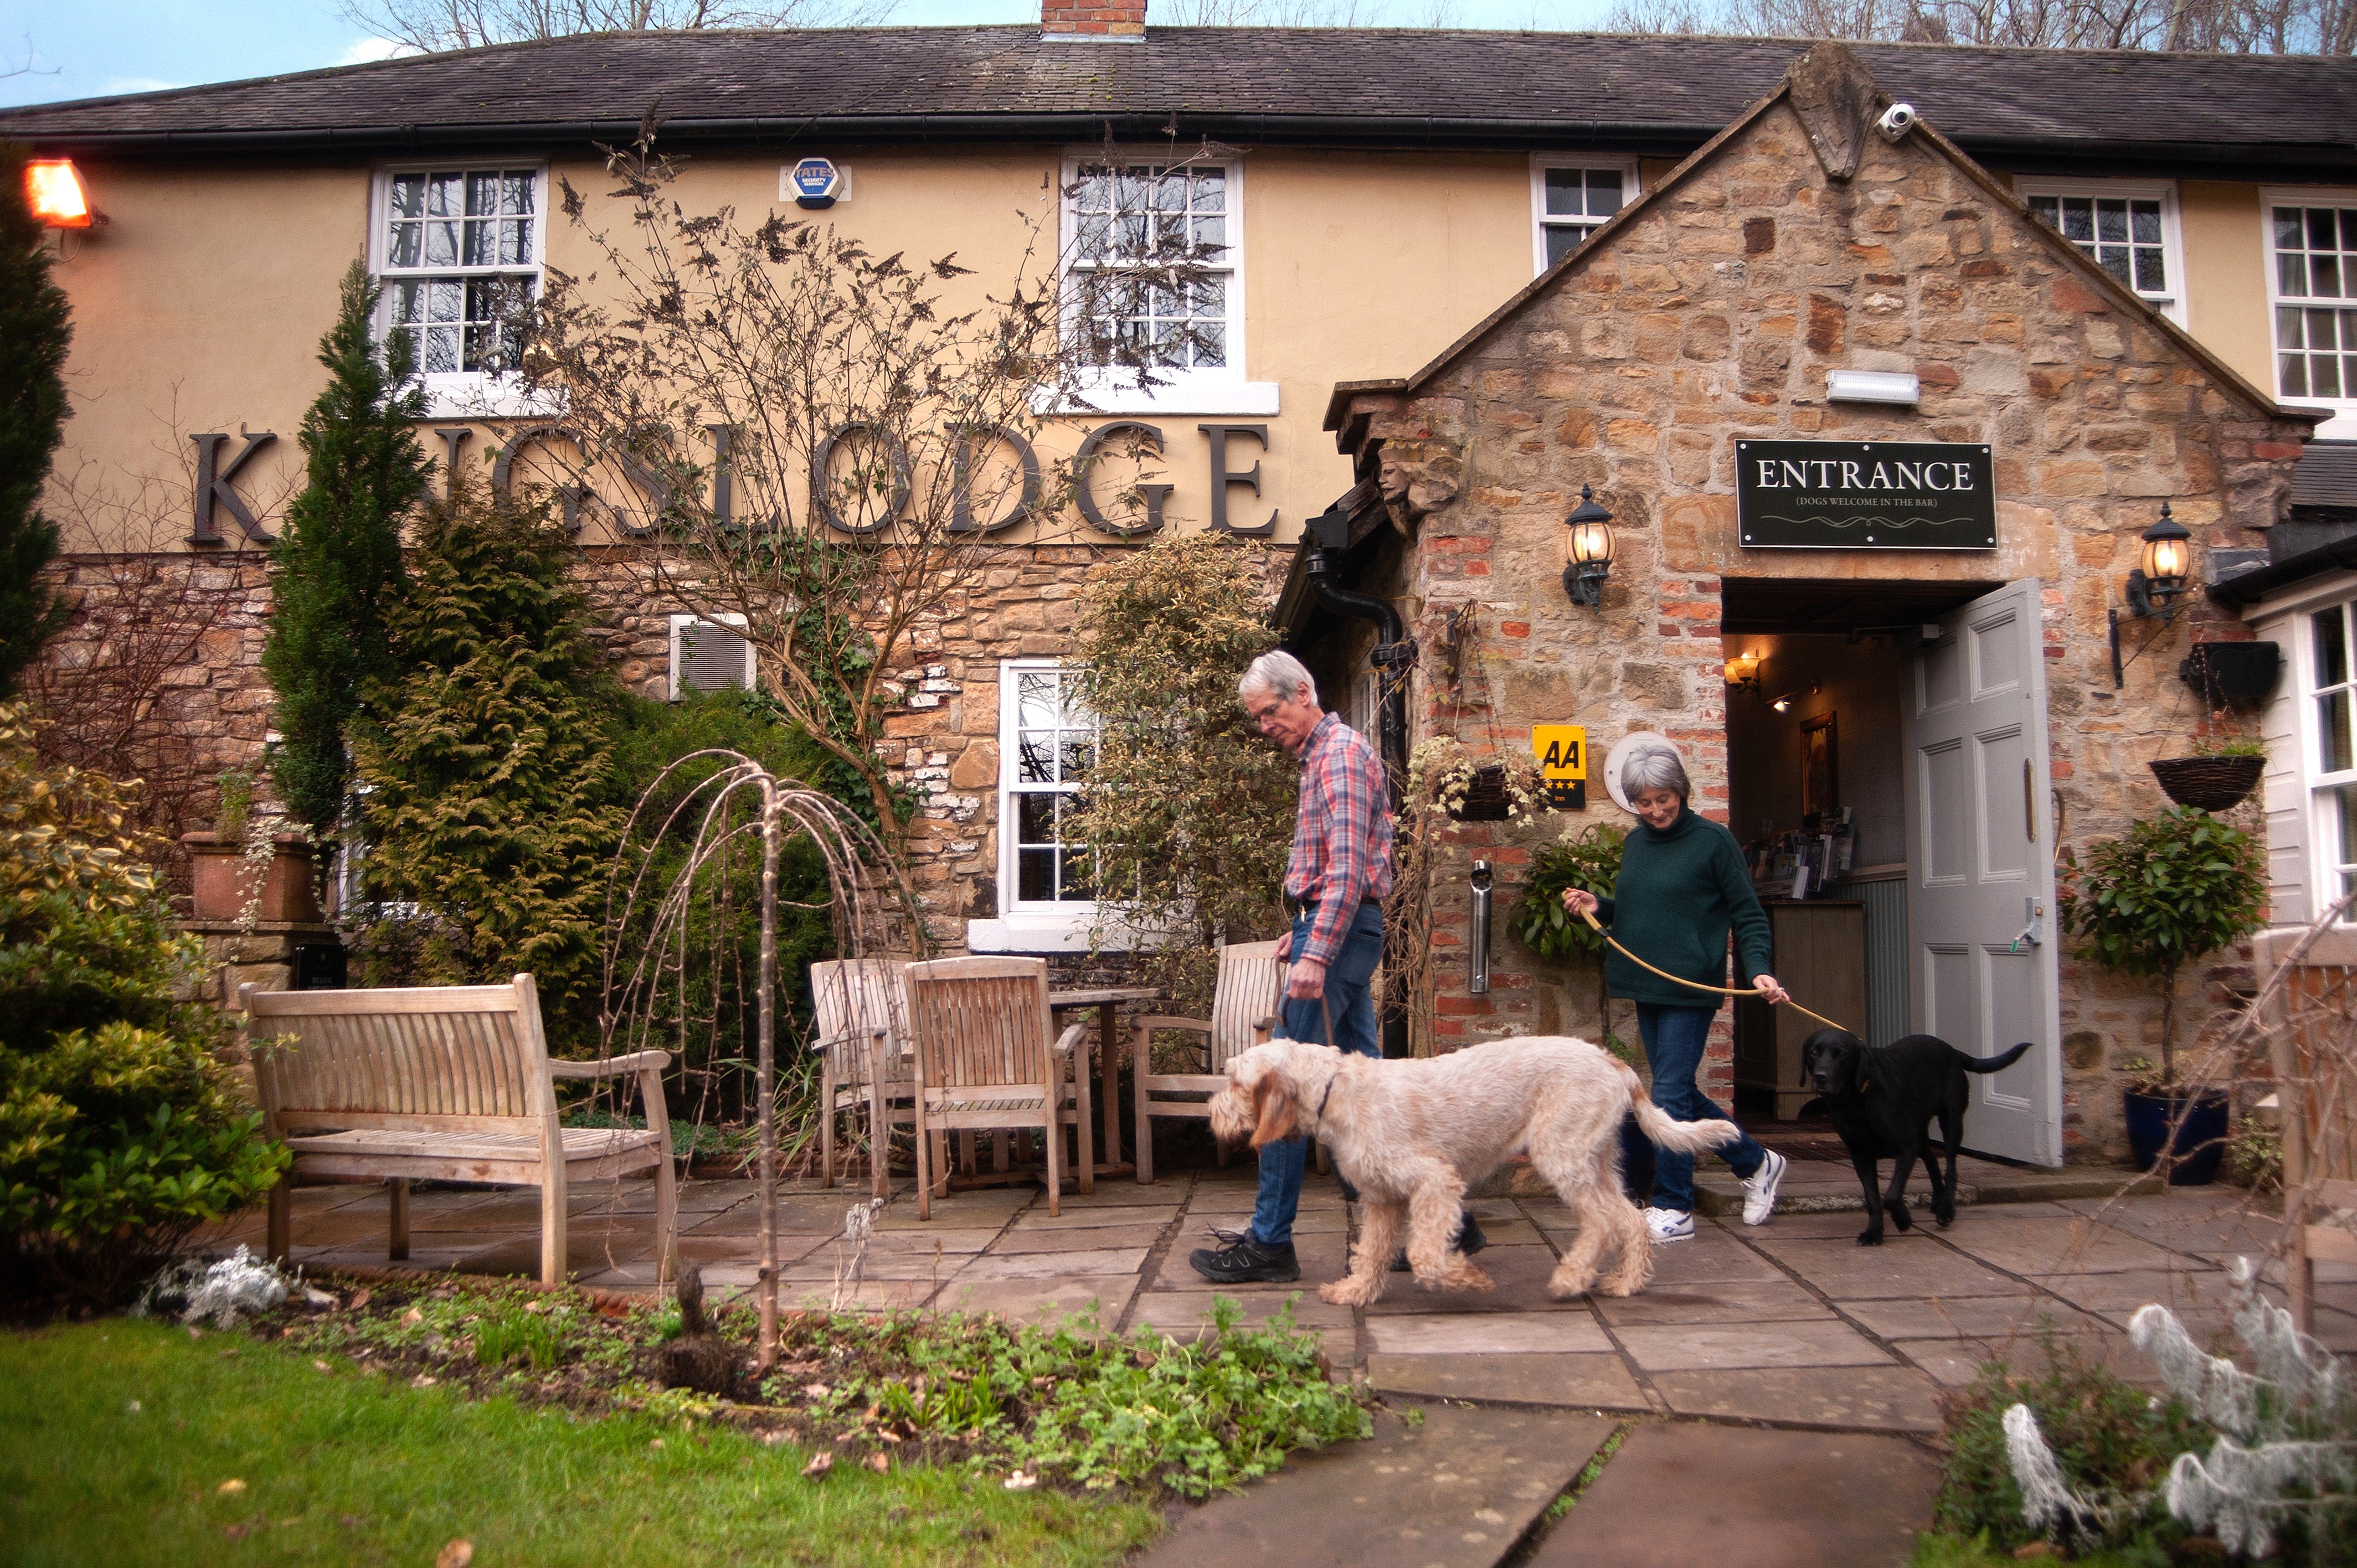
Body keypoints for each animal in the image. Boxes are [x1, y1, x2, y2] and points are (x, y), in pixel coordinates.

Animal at [1207, 1033, 1744, 1301]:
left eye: (1234, 1082)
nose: (1211, 1113)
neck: (1334, 1091)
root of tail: (1613, 1061)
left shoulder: (1434, 1182)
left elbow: (1425, 1254)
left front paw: (1469, 1279)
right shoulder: (1383, 1200)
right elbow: (1373, 1253)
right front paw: (1356, 1293)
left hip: (1563, 1158)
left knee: (1602, 1223)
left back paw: (1571, 1280)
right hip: (1596, 1161)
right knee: (1630, 1220)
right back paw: (1626, 1283)